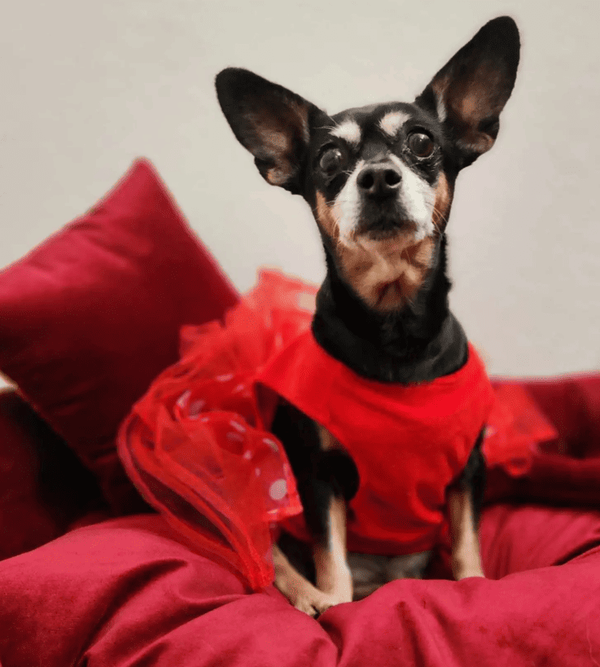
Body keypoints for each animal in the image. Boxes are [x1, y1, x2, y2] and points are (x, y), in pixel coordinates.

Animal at [215, 16, 520, 616]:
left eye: (422, 141)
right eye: (330, 159)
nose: (378, 177)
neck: (395, 327)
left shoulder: (468, 470)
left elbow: (467, 544)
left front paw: (474, 585)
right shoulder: (318, 475)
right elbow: (331, 557)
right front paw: (335, 606)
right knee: (273, 555)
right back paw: (309, 599)